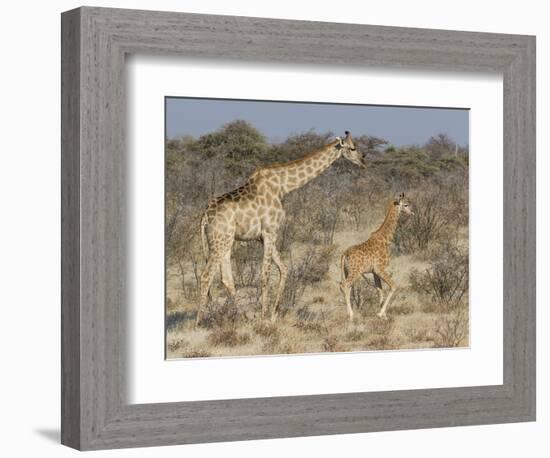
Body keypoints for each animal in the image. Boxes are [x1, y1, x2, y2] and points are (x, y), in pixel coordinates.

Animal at [197, 132, 366, 326]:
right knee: (206, 276)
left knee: (226, 279)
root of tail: (205, 216)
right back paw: (198, 322)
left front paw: (272, 315)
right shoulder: (270, 232)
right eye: (352, 148)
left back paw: (239, 317)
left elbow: (283, 269)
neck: (283, 187)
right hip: (219, 240)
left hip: (226, 241)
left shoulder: (262, 237)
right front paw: (263, 317)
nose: (363, 160)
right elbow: (265, 274)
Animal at [340, 193, 414, 322]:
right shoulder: (380, 268)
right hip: (356, 272)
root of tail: (345, 254)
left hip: (346, 271)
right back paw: (351, 316)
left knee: (346, 287)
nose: (412, 212)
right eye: (406, 204)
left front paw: (382, 315)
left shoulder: (374, 271)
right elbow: (393, 286)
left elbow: (379, 290)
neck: (386, 239)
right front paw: (381, 314)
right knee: (344, 285)